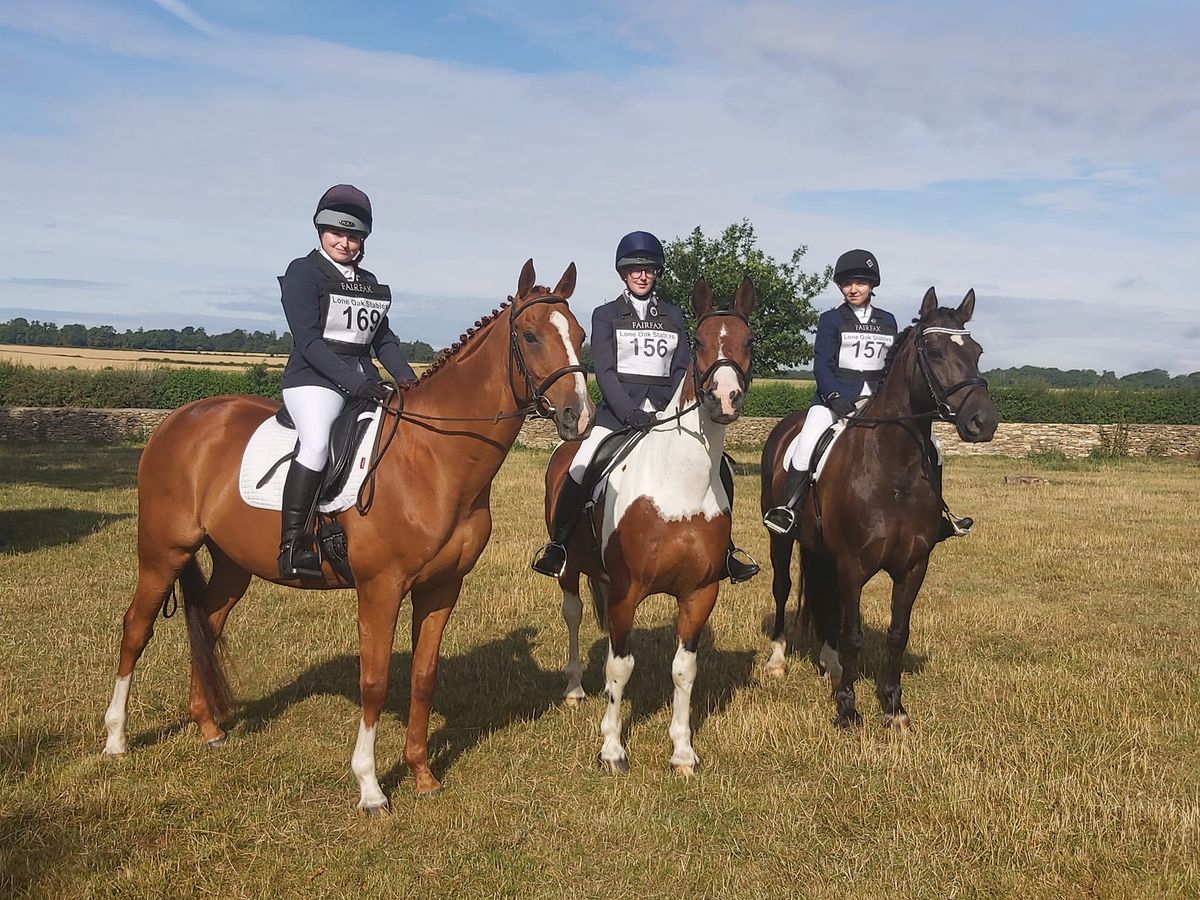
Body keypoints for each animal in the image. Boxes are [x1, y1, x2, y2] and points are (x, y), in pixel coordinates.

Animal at [102, 256, 595, 816]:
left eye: (580, 334)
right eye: (530, 336)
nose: (579, 416)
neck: (433, 458)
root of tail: (178, 420)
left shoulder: (442, 588)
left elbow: (424, 677)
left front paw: (423, 775)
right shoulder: (380, 589)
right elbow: (375, 682)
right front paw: (371, 788)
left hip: (233, 564)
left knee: (206, 623)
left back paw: (208, 728)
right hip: (162, 552)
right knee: (135, 628)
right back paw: (116, 739)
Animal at [547, 280, 753, 777]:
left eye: (749, 340)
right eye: (698, 342)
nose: (724, 397)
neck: (678, 484)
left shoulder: (699, 594)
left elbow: (684, 670)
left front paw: (682, 751)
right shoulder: (627, 591)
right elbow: (620, 668)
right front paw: (611, 749)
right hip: (569, 571)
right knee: (574, 615)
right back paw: (575, 688)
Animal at [758, 289, 1003, 734]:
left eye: (976, 351)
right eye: (935, 351)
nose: (983, 422)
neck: (894, 470)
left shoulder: (913, 566)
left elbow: (896, 634)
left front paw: (893, 708)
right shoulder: (852, 564)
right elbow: (854, 634)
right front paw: (847, 710)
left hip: (822, 552)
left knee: (826, 602)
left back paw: (831, 664)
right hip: (780, 539)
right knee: (783, 589)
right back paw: (778, 662)